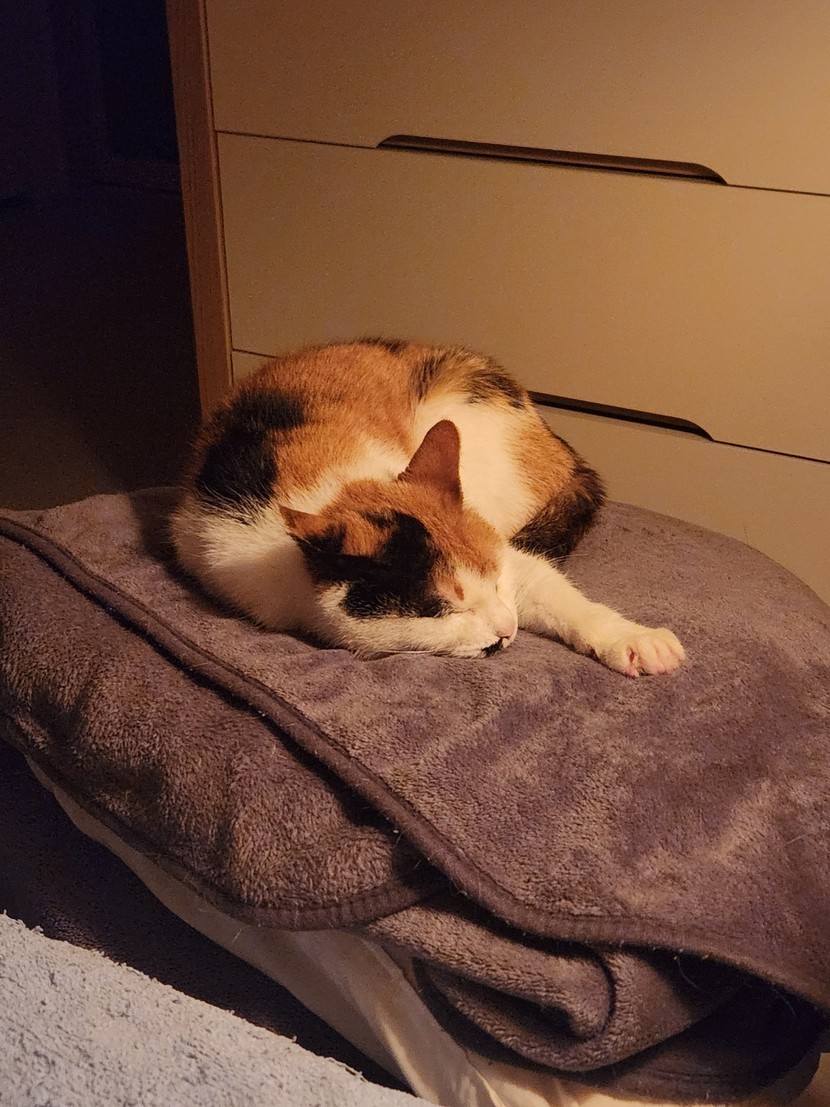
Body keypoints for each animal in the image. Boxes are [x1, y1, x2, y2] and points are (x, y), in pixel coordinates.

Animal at [171, 339, 684, 676]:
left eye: (493, 579)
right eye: (441, 608)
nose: (509, 627)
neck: (331, 489)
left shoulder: (509, 559)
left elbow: (558, 595)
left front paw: (634, 640)